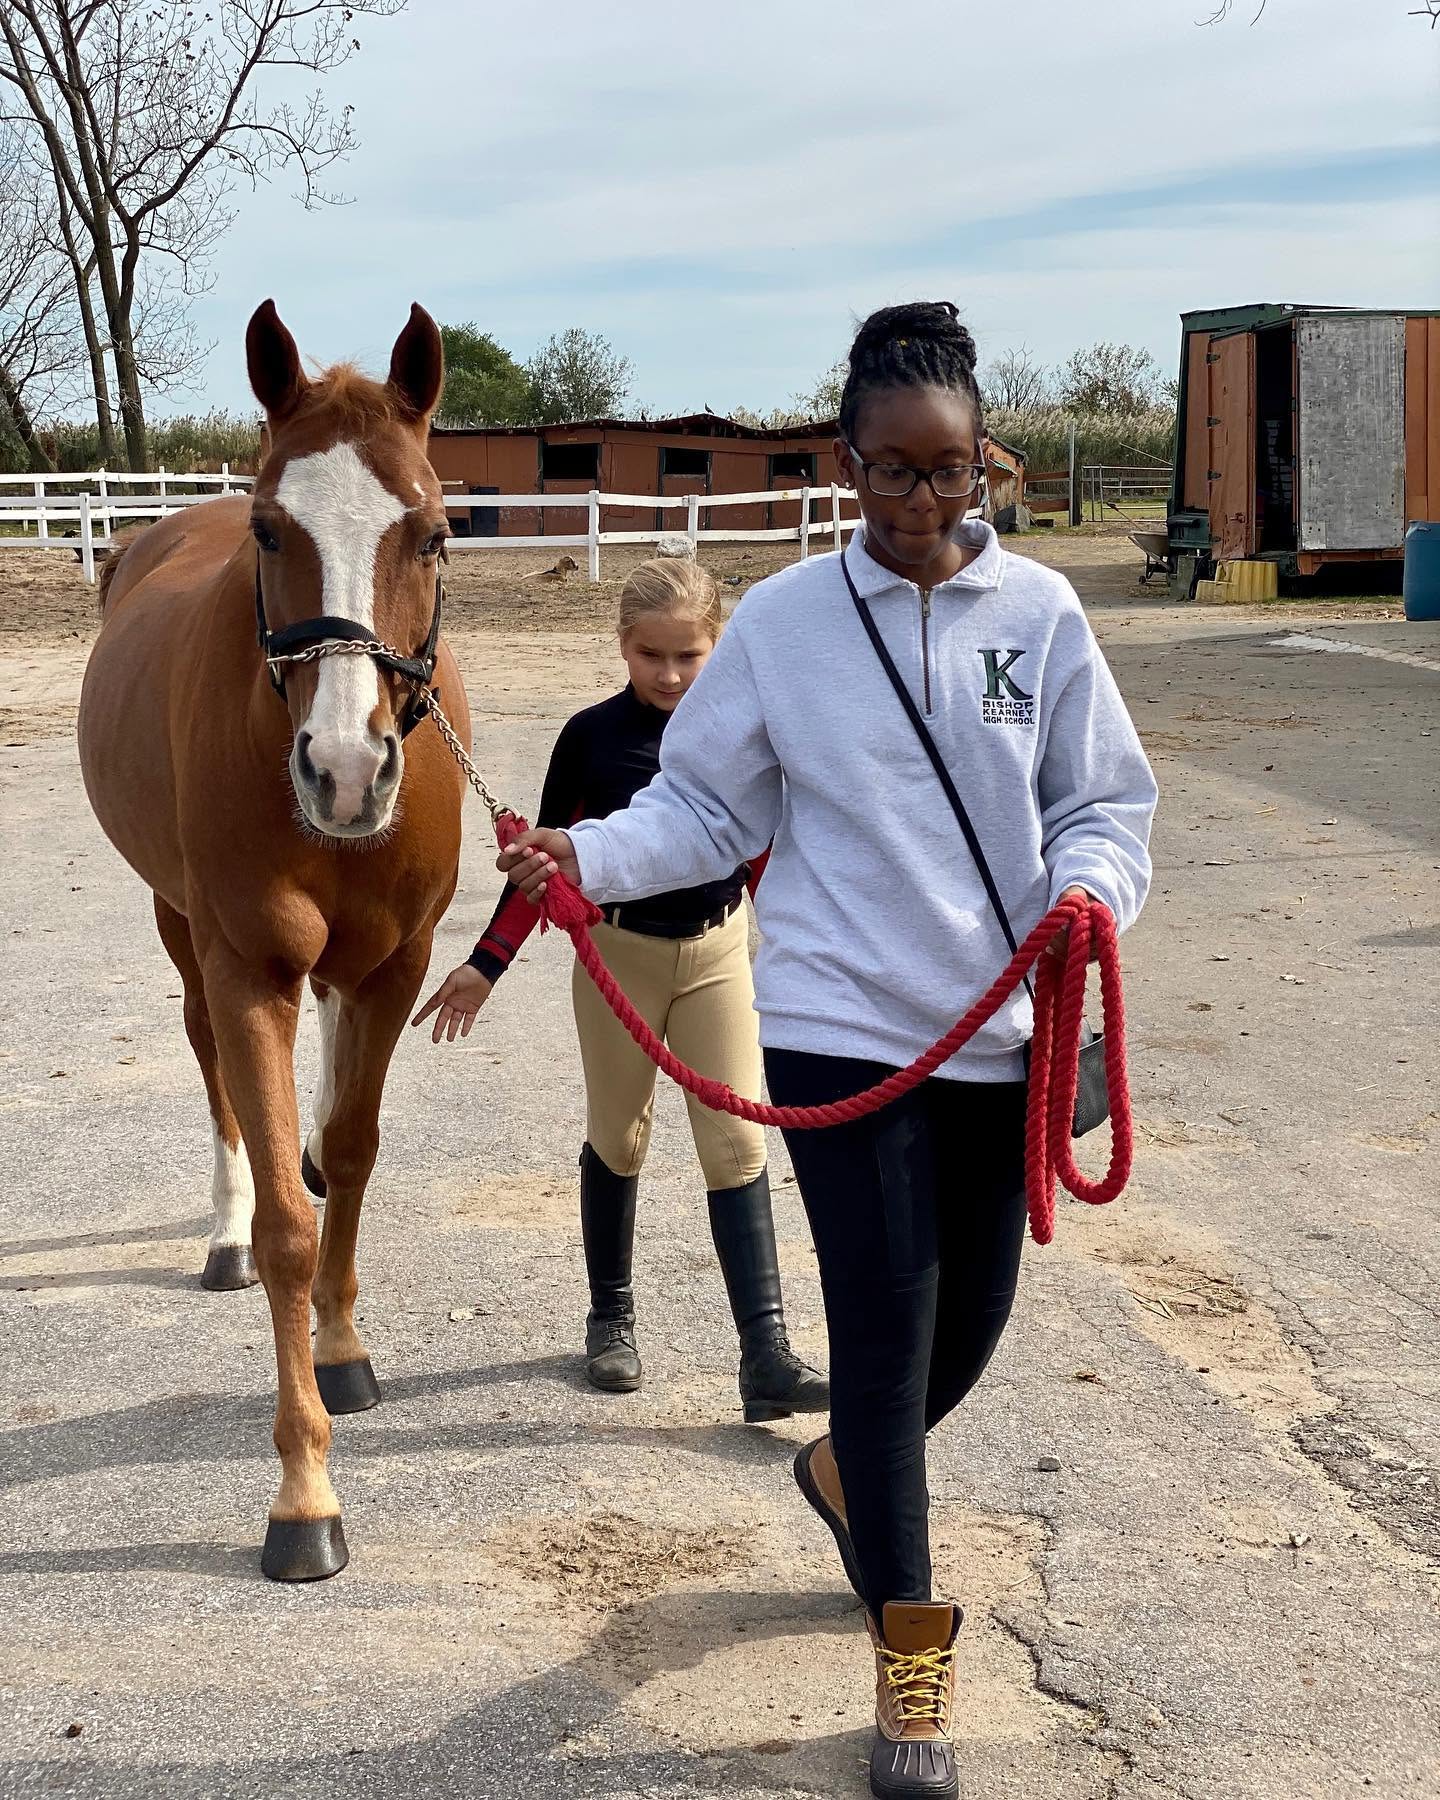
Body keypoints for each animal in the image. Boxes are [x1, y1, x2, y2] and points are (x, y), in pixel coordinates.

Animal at [76, 301, 472, 1581]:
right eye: (269, 528)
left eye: (432, 532)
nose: (345, 771)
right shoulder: (250, 965)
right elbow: (294, 1232)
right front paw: (303, 1497)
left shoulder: (394, 966)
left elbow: (350, 1152)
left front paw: (344, 1350)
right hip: (178, 923)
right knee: (208, 1062)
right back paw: (223, 1224)